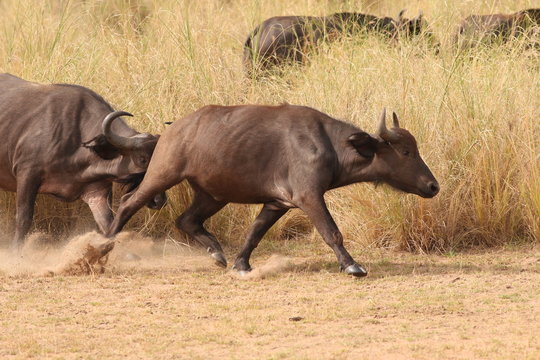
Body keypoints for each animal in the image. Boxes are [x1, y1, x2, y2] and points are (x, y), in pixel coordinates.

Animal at [0, 73, 166, 250]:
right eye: (142, 159)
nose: (159, 200)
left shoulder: (97, 193)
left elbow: (108, 224)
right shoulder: (27, 175)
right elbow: (24, 218)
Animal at [104, 104, 438, 278]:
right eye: (406, 151)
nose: (432, 185)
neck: (329, 144)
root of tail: (172, 129)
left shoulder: (278, 203)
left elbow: (255, 232)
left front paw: (241, 264)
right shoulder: (309, 197)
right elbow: (332, 232)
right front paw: (352, 265)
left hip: (213, 195)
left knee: (187, 220)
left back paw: (216, 253)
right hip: (162, 174)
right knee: (128, 203)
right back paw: (104, 244)